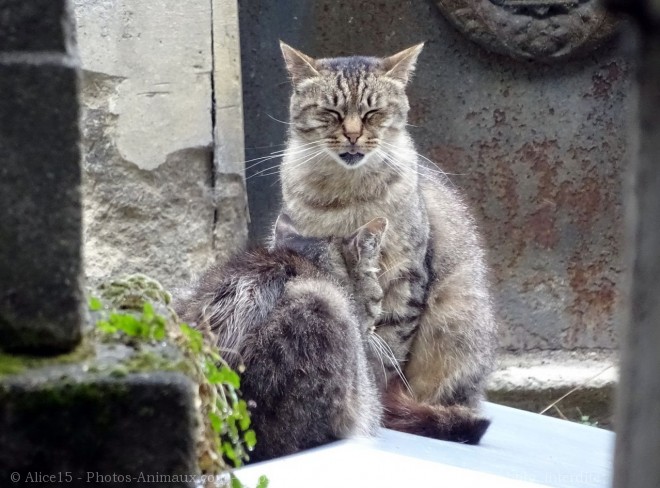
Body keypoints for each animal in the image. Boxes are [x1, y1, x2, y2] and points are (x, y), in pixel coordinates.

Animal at [276, 42, 498, 408]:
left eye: (373, 113)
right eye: (331, 112)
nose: (353, 135)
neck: (347, 197)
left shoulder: (405, 274)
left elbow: (390, 348)